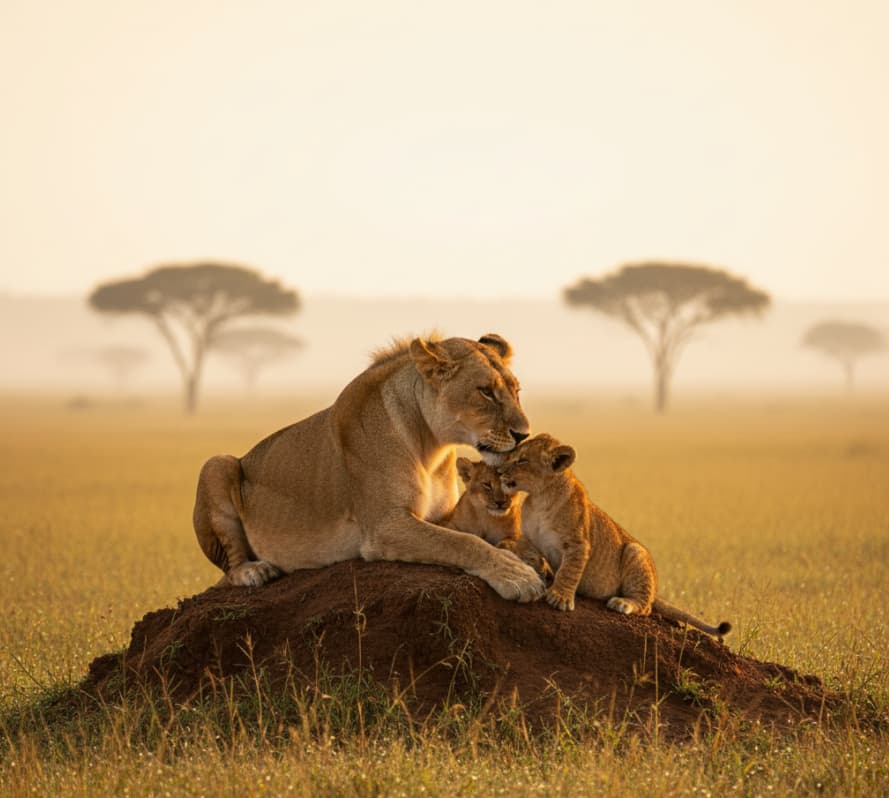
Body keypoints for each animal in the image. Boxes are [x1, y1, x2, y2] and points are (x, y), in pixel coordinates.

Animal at [192, 334, 544, 603]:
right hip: (216, 464)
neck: (430, 446)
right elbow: (460, 542)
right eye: (486, 391)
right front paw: (517, 576)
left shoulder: (444, 516)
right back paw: (255, 570)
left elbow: (469, 537)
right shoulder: (384, 526)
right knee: (231, 567)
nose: (524, 434)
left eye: (516, 391)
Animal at [498, 434, 731, 638]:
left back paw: (623, 602)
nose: (499, 472)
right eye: (512, 456)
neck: (540, 498)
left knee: (645, 607)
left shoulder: (578, 544)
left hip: (634, 551)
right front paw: (513, 553)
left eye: (523, 460)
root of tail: (656, 592)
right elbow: (527, 551)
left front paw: (560, 597)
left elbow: (569, 571)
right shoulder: (530, 538)